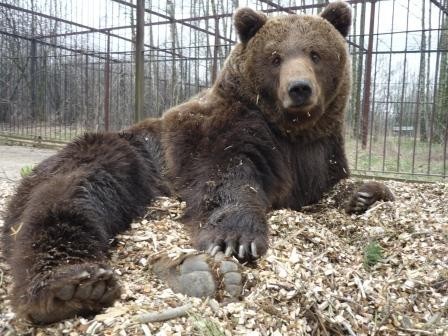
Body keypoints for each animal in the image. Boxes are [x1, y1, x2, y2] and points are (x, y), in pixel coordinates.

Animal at [0, 1, 392, 324]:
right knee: (67, 198)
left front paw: (365, 193)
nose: (299, 88)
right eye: (276, 56)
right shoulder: (226, 130)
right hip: (121, 157)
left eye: (315, 53)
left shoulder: (318, 151)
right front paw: (237, 237)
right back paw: (71, 287)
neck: (289, 130)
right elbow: (227, 175)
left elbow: (328, 185)